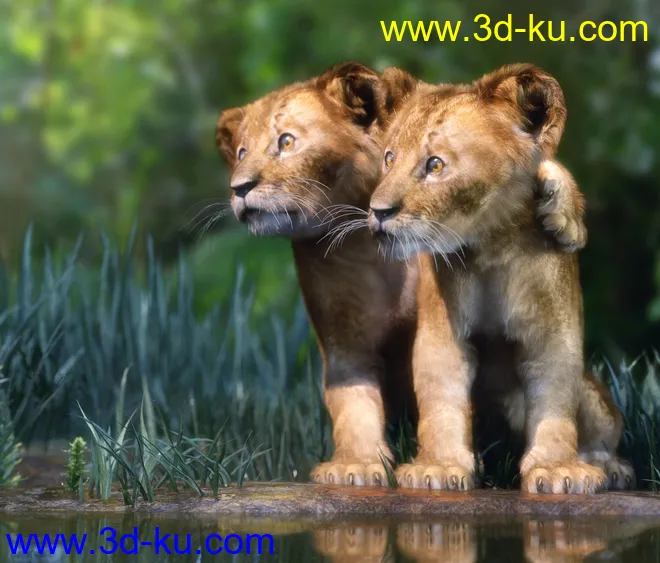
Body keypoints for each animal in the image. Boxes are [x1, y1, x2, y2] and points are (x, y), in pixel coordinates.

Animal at [215, 62, 594, 487]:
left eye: (286, 142)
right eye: (241, 152)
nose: (239, 187)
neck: (374, 252)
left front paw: (562, 213)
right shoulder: (347, 337)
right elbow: (352, 399)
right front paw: (356, 464)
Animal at [366, 63, 634, 493]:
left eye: (435, 165)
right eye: (389, 158)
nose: (378, 211)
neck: (489, 249)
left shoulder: (552, 330)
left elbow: (554, 397)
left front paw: (558, 469)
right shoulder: (442, 331)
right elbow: (441, 393)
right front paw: (437, 467)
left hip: (595, 397)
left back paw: (608, 467)